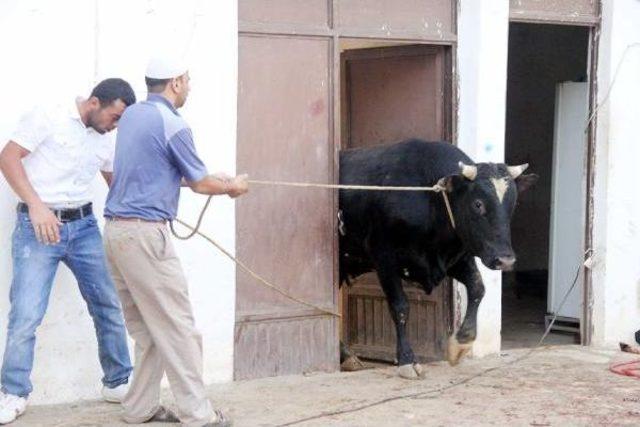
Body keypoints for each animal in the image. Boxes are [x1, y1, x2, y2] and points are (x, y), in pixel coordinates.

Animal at [338, 139, 536, 380]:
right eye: (478, 204)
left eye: (512, 204)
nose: (505, 260)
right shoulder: (384, 257)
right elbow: (400, 306)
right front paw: (407, 359)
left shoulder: (458, 258)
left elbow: (477, 288)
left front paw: (461, 342)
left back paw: (347, 356)